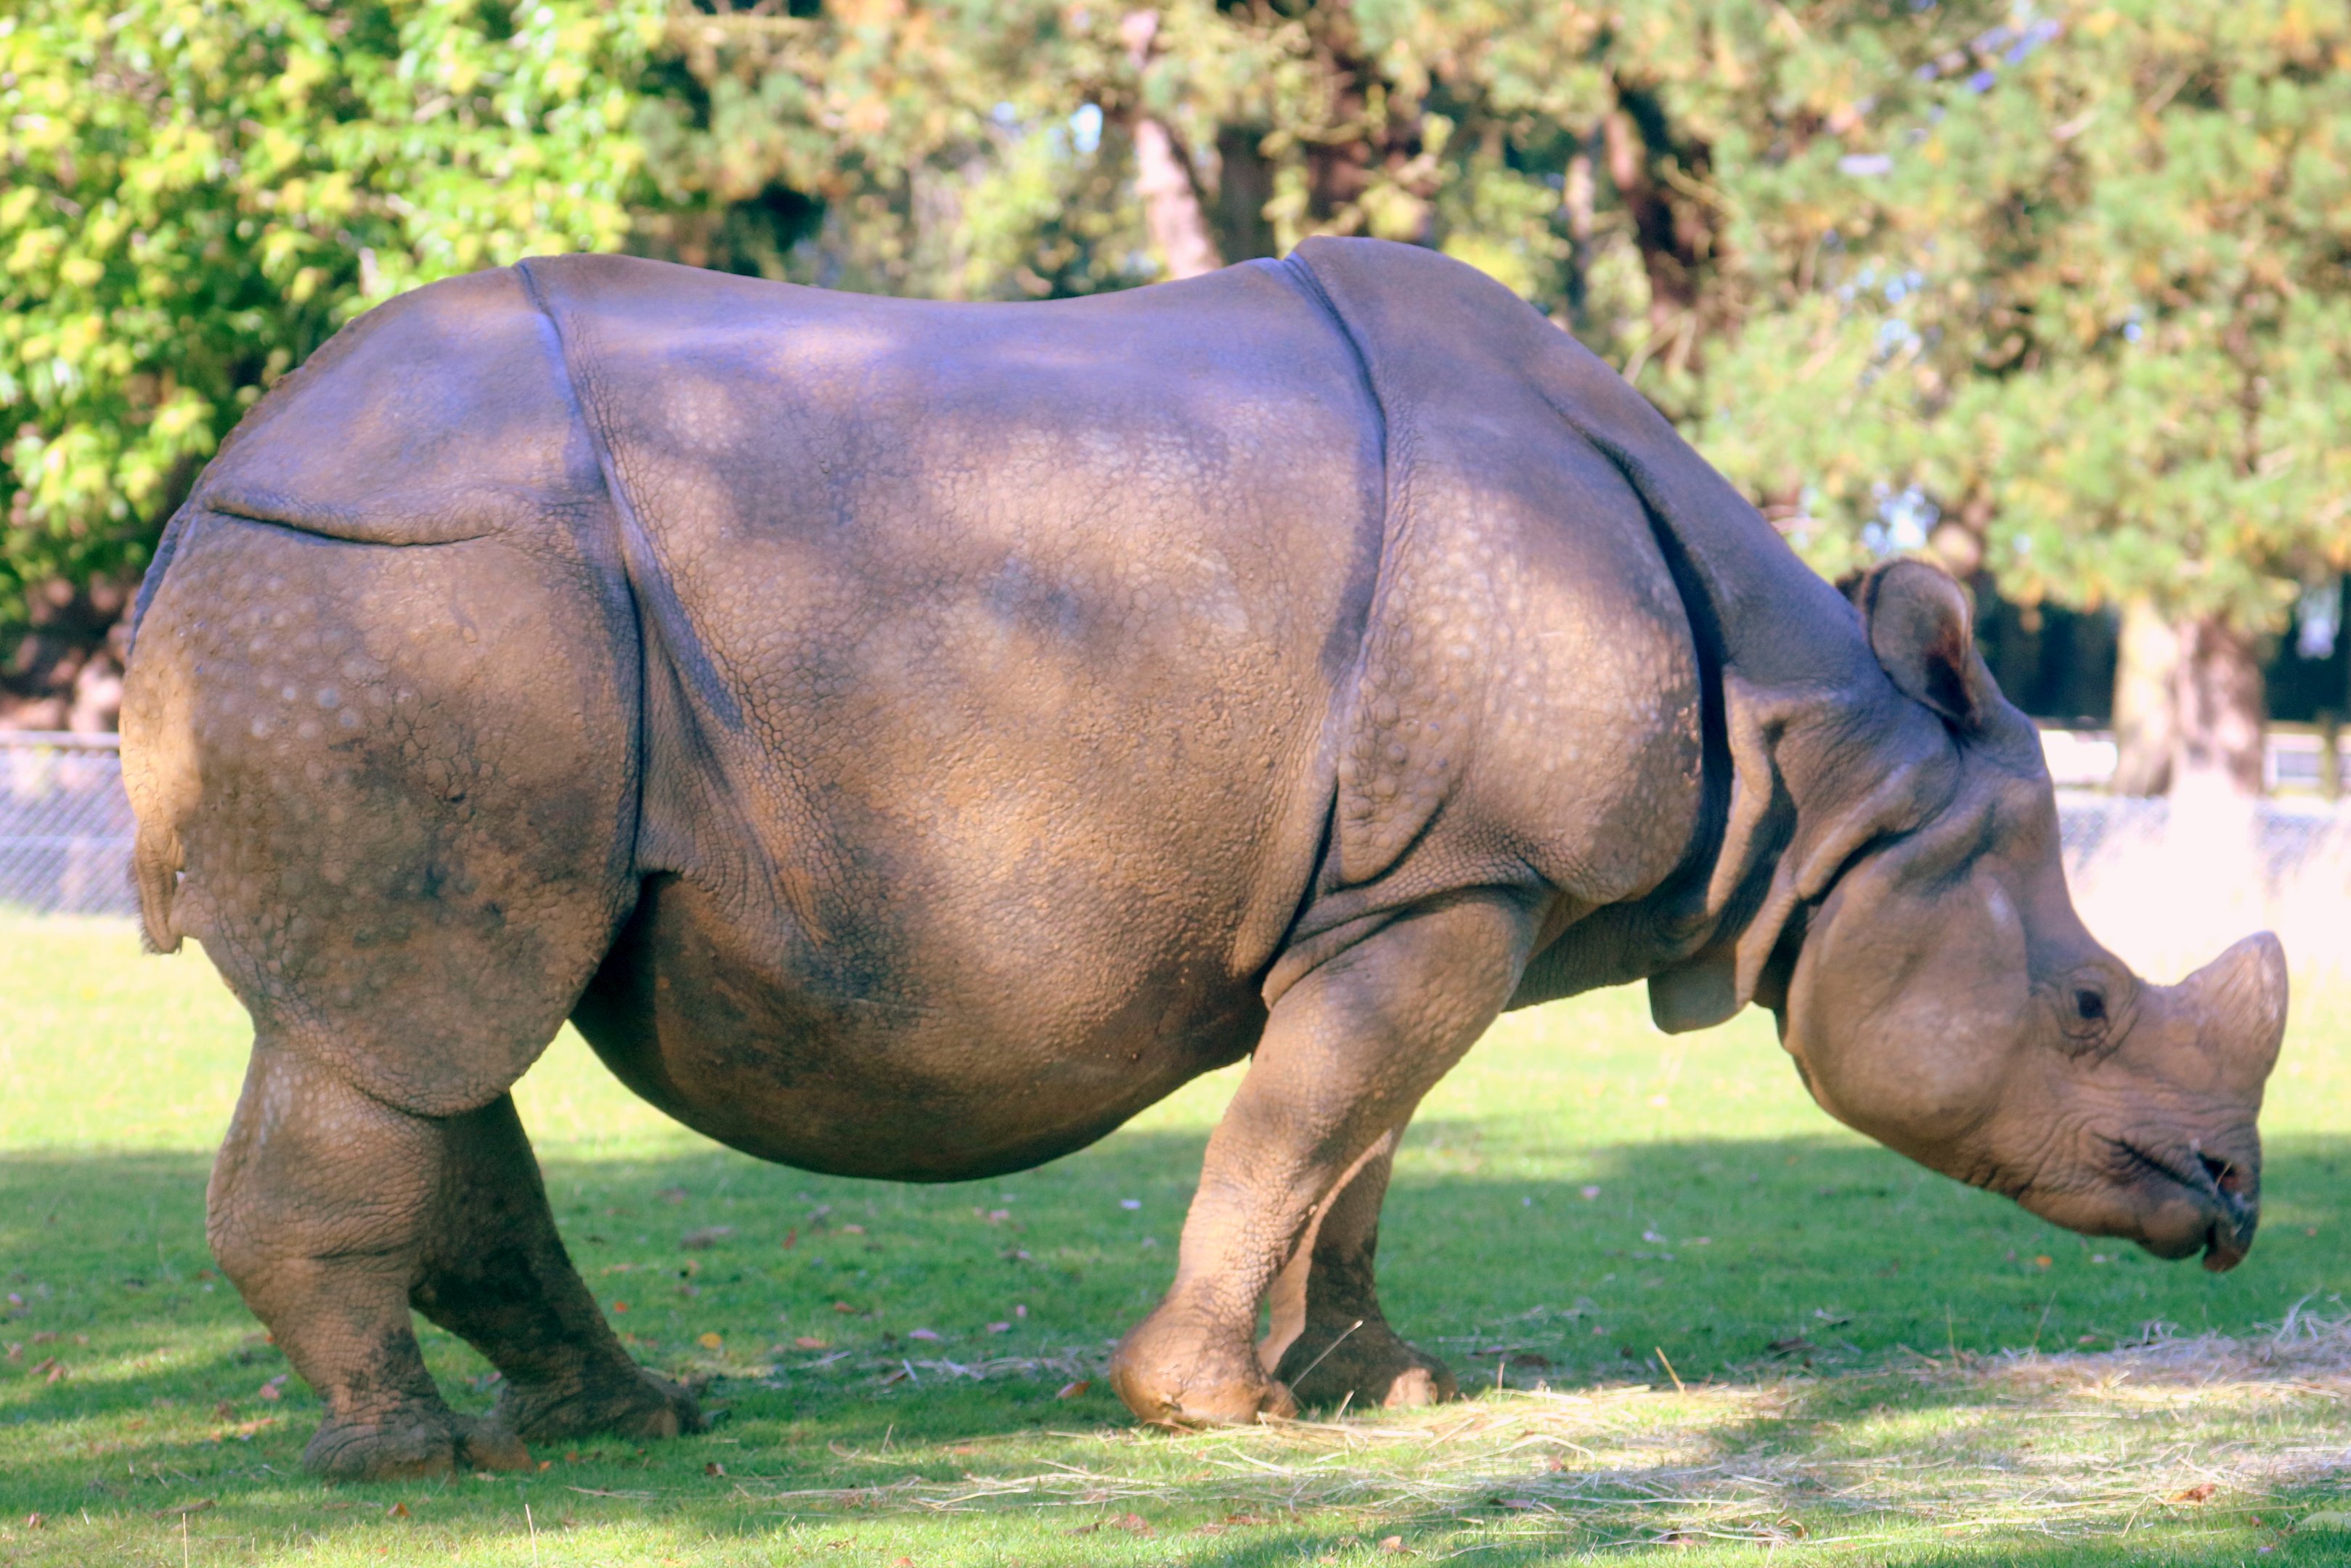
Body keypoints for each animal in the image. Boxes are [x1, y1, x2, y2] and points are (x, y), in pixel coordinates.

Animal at [120, 238, 2287, 1480]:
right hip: (424, 592)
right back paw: (404, 1462)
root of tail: (214, 487)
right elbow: (1307, 1123)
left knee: (436, 1031)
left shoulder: (1429, 884)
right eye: (2085, 1005)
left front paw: (1385, 1394)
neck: (1811, 758)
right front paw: (1211, 1416)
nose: (2228, 1202)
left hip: (425, 608)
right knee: (416, 1028)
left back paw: (622, 1423)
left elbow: (1354, 1145)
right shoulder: (1452, 880)